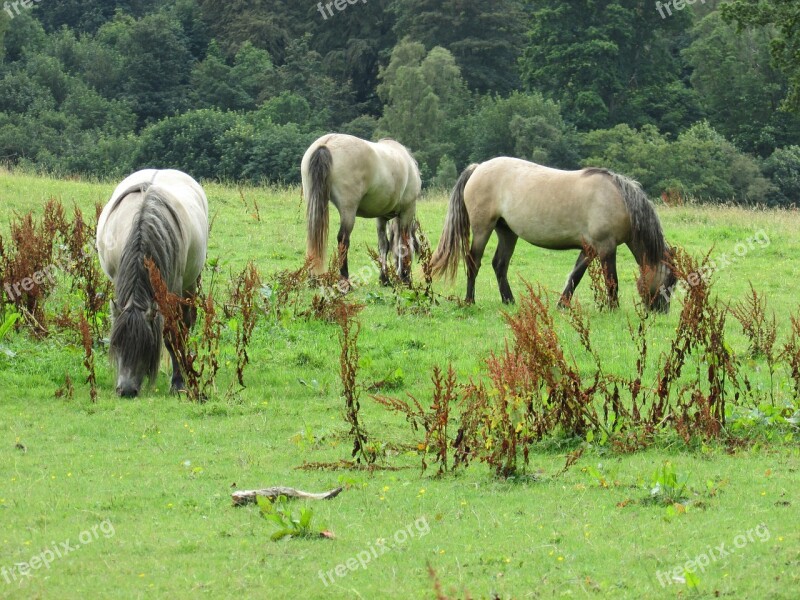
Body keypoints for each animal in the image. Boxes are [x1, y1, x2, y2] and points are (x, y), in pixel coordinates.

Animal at [95, 166, 209, 396]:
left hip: (189, 285)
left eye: (145, 347)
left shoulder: (172, 291)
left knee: (186, 324)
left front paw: (178, 382)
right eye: (117, 343)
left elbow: (173, 335)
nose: (126, 390)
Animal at [302, 134, 424, 284]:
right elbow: (404, 243)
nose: (406, 276)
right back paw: (345, 280)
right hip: (348, 210)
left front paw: (384, 279)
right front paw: (405, 278)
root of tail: (326, 144)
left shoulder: (381, 216)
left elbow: (384, 245)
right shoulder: (408, 210)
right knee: (343, 240)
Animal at [432, 157, 676, 312]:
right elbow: (612, 280)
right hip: (483, 228)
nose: (661, 310)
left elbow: (575, 276)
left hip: (507, 232)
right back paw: (469, 301)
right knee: (473, 262)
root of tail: (478, 167)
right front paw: (613, 309)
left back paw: (509, 301)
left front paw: (562, 305)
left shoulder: (589, 248)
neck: (618, 199)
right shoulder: (606, 246)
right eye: (670, 280)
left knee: (499, 265)